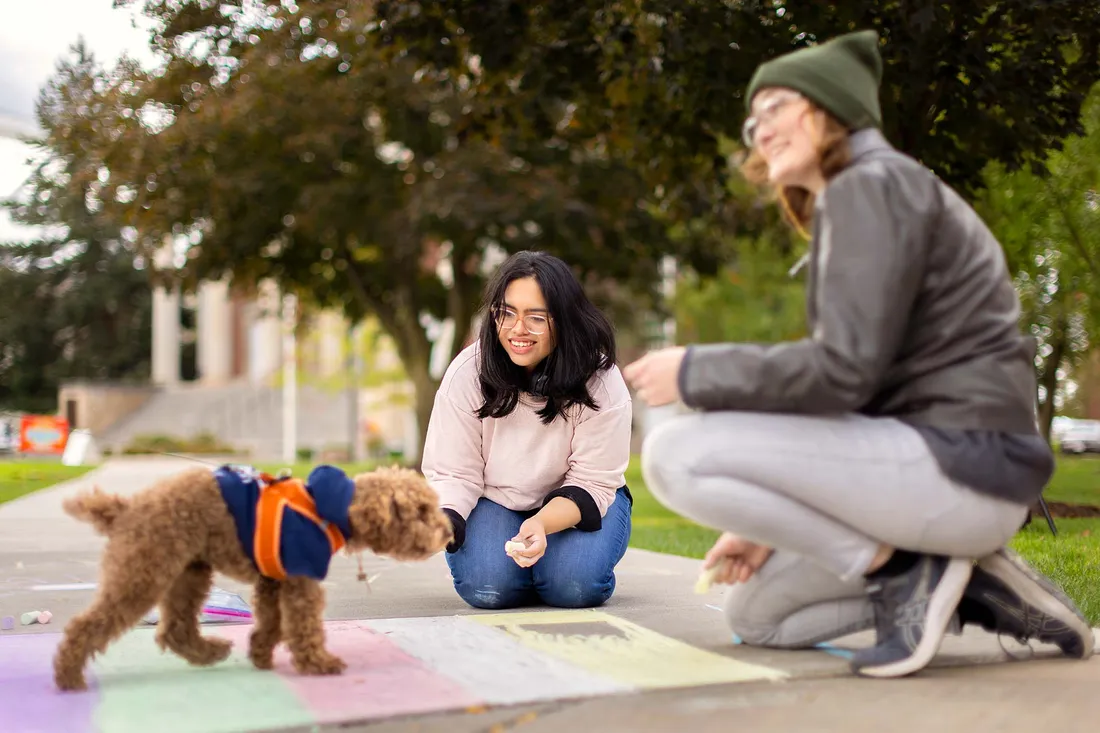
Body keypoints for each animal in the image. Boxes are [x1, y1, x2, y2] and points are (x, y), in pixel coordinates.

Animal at [53, 464, 448, 686]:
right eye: (421, 510)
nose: (448, 532)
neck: (329, 508)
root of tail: (126, 507)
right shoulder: (300, 577)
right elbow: (302, 625)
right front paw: (318, 663)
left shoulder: (273, 580)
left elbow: (272, 622)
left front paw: (260, 654)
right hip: (144, 570)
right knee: (86, 625)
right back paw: (69, 677)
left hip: (189, 572)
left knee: (176, 628)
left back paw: (209, 652)